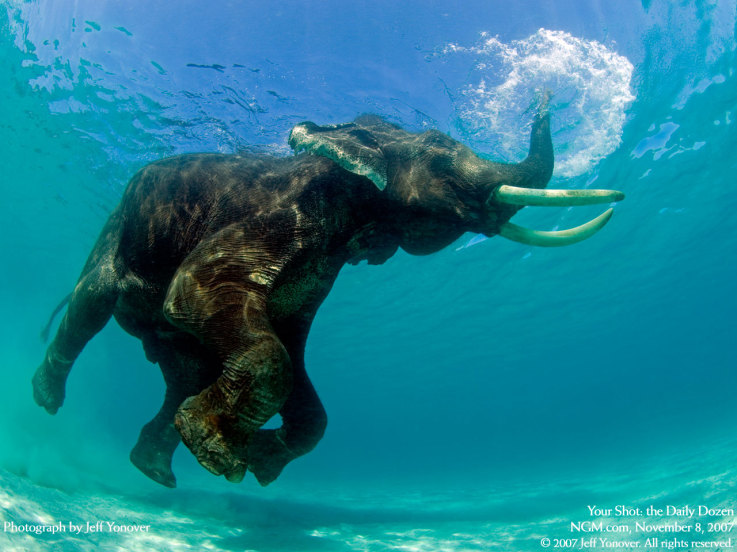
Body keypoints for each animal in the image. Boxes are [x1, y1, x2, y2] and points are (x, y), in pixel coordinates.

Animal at [32, 98, 624, 488]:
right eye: (439, 151)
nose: (547, 91)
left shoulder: (322, 269)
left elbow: (294, 357)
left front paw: (256, 459)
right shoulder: (275, 218)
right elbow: (198, 295)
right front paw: (223, 458)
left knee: (184, 371)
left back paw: (154, 470)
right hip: (114, 233)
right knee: (89, 308)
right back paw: (48, 399)